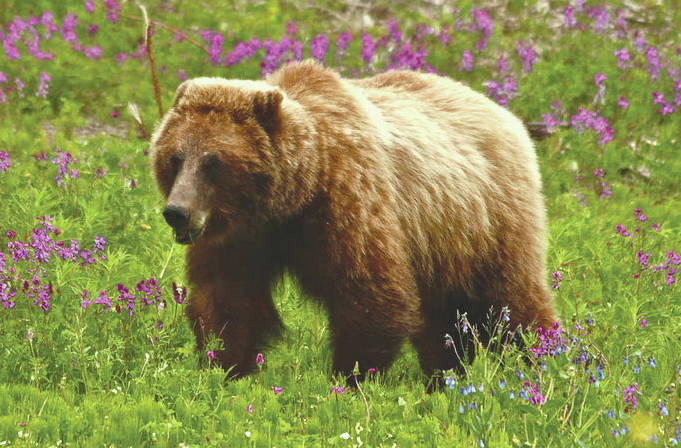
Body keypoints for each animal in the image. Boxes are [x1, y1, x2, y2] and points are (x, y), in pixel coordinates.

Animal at [149, 60, 552, 382]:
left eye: (214, 162)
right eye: (175, 157)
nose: (177, 212)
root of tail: (504, 113)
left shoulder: (347, 204)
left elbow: (371, 295)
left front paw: (349, 378)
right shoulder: (239, 238)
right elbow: (229, 302)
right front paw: (223, 367)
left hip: (489, 223)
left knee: (512, 303)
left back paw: (542, 357)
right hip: (444, 246)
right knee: (445, 325)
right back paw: (445, 376)